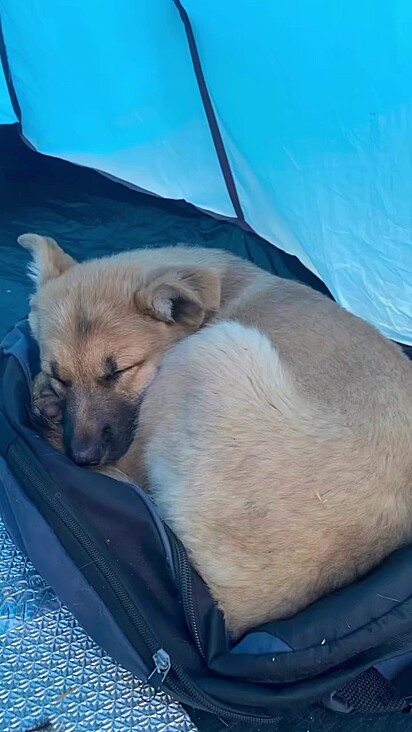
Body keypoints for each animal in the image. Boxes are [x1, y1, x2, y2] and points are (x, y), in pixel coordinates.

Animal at [19, 233, 412, 636]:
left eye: (119, 372)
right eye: (61, 377)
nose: (81, 458)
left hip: (206, 353)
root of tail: (235, 613)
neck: (219, 294)